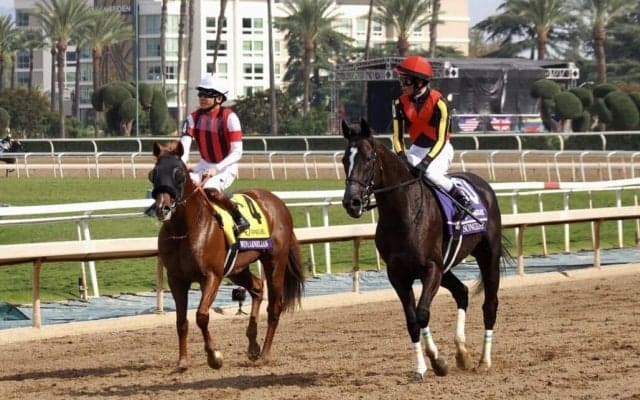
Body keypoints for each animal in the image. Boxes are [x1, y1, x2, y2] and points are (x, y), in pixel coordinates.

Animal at [148, 140, 305, 371]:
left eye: (179, 173)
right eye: (154, 173)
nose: (162, 208)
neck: (185, 229)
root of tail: (277, 202)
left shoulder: (211, 276)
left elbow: (201, 315)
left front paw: (214, 356)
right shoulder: (176, 279)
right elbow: (181, 321)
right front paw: (183, 361)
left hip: (275, 261)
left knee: (275, 306)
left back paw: (265, 355)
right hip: (237, 268)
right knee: (257, 287)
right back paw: (253, 345)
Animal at [341, 119, 504, 381]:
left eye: (367, 158)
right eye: (345, 160)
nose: (352, 202)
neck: (404, 214)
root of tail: (482, 185)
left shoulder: (431, 268)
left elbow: (422, 313)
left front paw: (437, 362)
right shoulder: (398, 274)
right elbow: (412, 320)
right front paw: (422, 366)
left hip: (488, 256)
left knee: (490, 305)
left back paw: (484, 361)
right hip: (447, 268)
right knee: (462, 292)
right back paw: (462, 353)